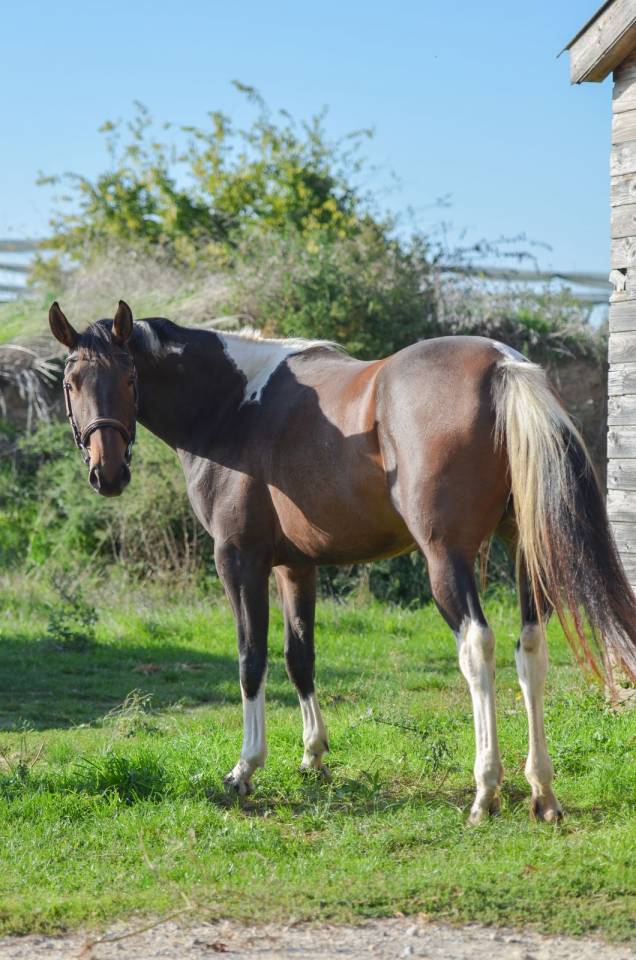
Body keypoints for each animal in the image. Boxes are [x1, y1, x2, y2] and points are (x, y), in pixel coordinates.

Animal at [49, 299, 636, 824]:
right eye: (70, 382)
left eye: (129, 377)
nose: (108, 474)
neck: (232, 407)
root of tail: (501, 364)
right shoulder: (295, 566)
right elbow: (299, 657)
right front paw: (313, 756)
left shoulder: (239, 560)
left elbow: (251, 658)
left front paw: (245, 769)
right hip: (523, 550)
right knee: (530, 649)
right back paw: (543, 793)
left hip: (447, 560)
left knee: (478, 648)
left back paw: (485, 792)